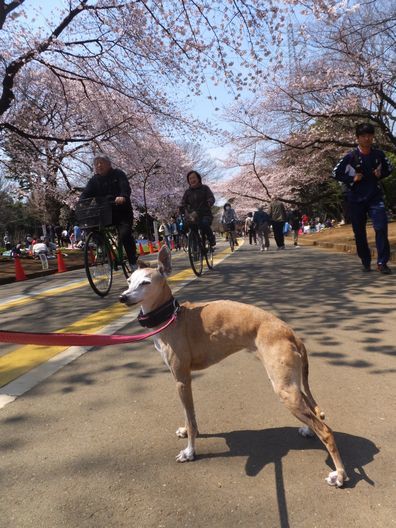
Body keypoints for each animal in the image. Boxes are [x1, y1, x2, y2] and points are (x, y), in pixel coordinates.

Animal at [120, 246, 346, 486]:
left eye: (145, 282)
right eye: (129, 281)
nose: (122, 297)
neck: (171, 317)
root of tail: (290, 332)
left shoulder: (182, 379)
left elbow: (191, 419)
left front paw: (190, 452)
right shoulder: (183, 381)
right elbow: (190, 416)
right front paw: (187, 431)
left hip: (284, 388)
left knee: (326, 431)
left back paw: (340, 474)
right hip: (289, 383)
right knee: (311, 410)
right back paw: (308, 429)